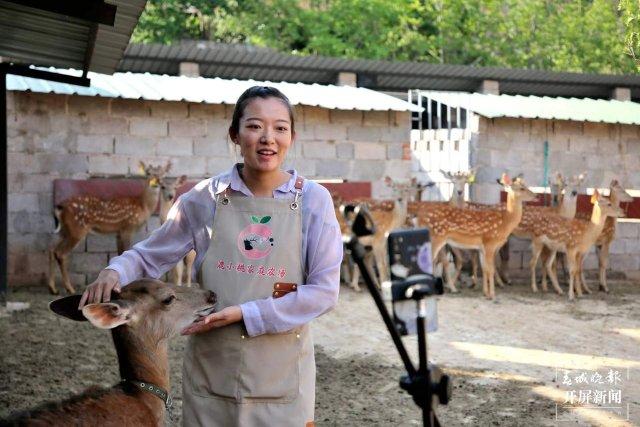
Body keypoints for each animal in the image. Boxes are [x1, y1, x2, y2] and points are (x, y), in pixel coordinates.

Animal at [48, 162, 170, 296]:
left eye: (163, 174)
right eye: (148, 173)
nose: (156, 181)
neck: (143, 206)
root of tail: (60, 207)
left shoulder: (119, 231)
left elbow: (120, 253)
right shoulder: (127, 226)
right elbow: (124, 250)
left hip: (65, 230)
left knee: (52, 249)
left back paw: (53, 288)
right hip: (77, 228)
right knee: (61, 253)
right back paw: (69, 288)